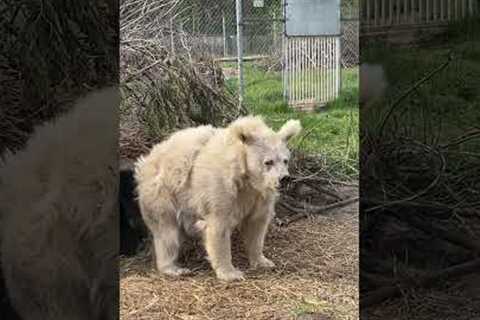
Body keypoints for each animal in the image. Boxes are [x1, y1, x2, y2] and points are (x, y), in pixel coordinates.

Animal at [133, 116, 302, 282]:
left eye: (285, 160)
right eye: (268, 162)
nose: (284, 178)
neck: (245, 176)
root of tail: (145, 161)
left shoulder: (259, 196)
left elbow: (257, 225)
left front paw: (263, 261)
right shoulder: (221, 188)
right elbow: (219, 226)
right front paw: (231, 273)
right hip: (164, 192)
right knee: (167, 231)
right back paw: (174, 268)